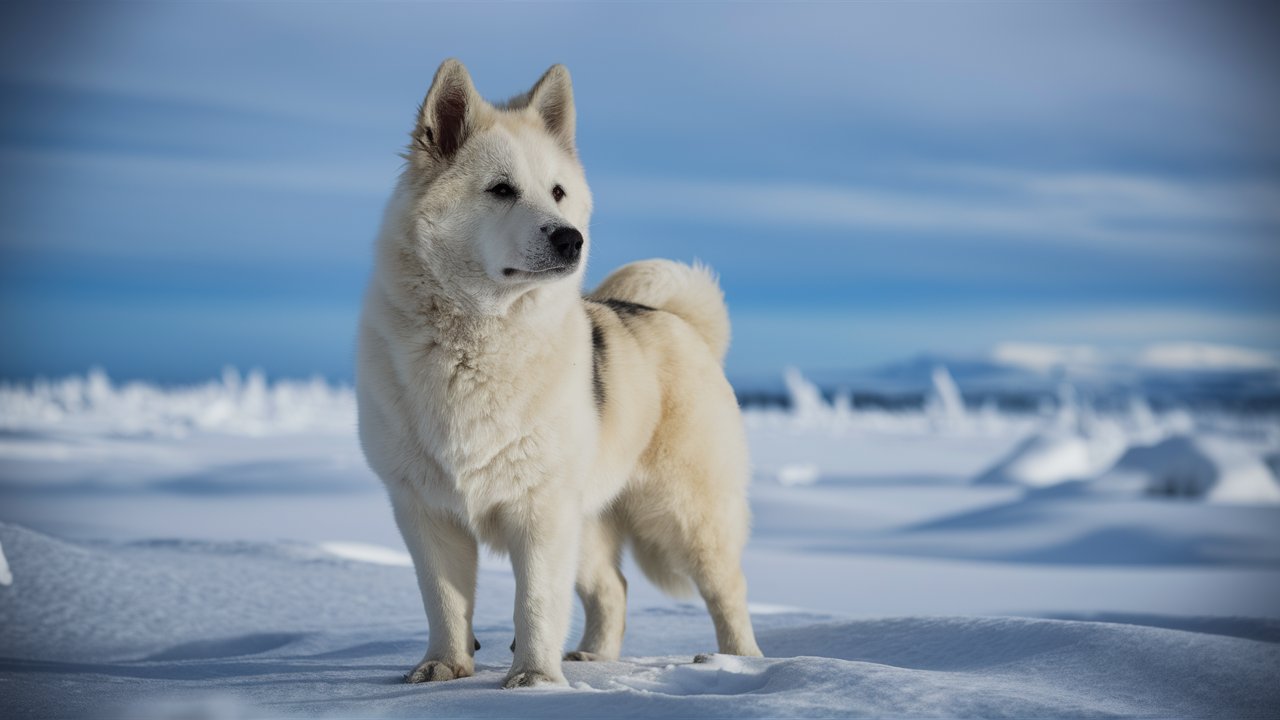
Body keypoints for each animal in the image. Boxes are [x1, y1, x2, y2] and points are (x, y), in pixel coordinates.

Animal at [355, 58, 757, 686]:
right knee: (613, 589)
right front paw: (444, 667)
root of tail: (682, 321)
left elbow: (536, 603)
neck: (477, 339)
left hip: (689, 517)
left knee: (728, 594)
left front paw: (535, 681)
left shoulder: (540, 512)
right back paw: (594, 657)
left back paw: (741, 665)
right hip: (589, 522)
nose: (572, 238)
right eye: (501, 189)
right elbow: (444, 600)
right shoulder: (425, 512)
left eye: (558, 192)